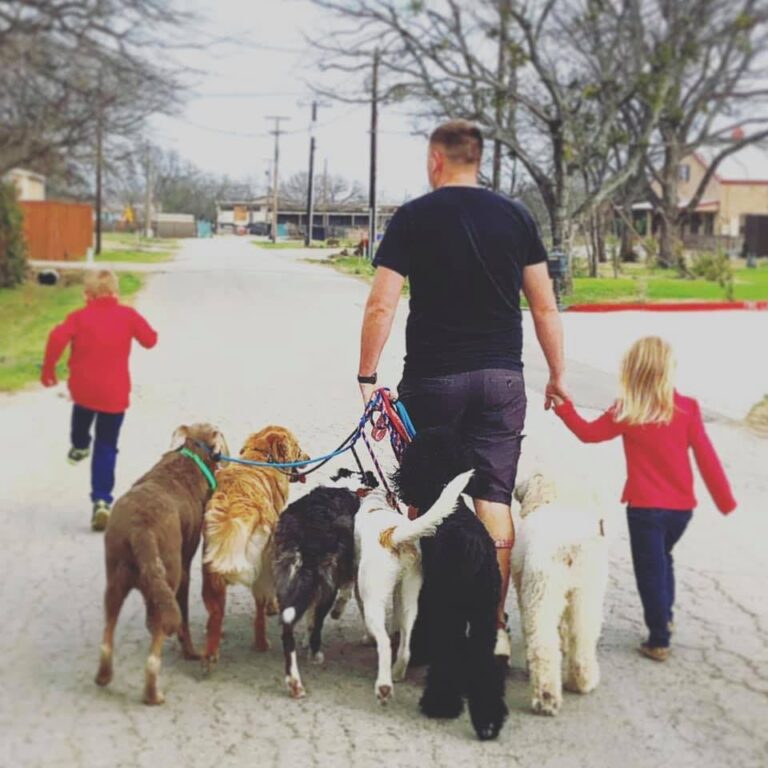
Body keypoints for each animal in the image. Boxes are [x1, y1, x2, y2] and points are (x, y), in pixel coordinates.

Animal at [94, 424, 226, 704]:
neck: (190, 456)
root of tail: (140, 529)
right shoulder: (185, 569)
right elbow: (183, 618)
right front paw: (190, 652)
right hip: (171, 572)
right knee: (158, 636)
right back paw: (153, 693)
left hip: (116, 578)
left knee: (110, 630)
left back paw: (104, 676)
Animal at [201, 424, 308, 668]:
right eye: (297, 447)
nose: (308, 458)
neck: (262, 456)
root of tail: (232, 513)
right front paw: (273, 607)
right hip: (262, 568)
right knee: (259, 611)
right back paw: (261, 642)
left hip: (210, 571)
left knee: (215, 612)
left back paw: (211, 650)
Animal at [392, 428, 508, 740]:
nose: (399, 475)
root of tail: (473, 550)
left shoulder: (429, 597)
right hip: (484, 617)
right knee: (483, 663)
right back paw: (488, 722)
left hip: (451, 611)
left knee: (449, 654)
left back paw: (440, 704)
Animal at [512, 472, 608, 716]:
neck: (552, 499)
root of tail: (569, 546)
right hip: (586, 592)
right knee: (582, 637)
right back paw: (582, 681)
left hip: (541, 590)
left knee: (542, 644)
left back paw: (546, 697)